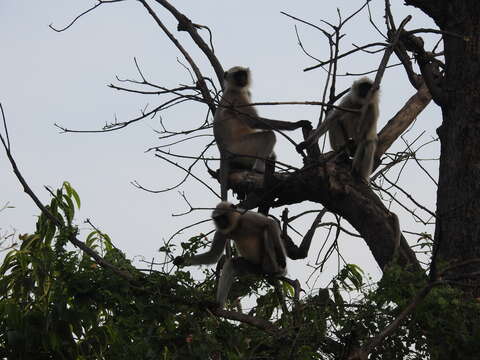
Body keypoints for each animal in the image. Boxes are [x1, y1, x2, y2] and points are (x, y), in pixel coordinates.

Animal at [214, 66, 312, 198]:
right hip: (239, 148)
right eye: (237, 75)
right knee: (268, 136)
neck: (233, 89)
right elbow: (254, 123)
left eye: (243, 74)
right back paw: (258, 170)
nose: (242, 79)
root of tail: (222, 150)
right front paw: (296, 124)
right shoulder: (237, 97)